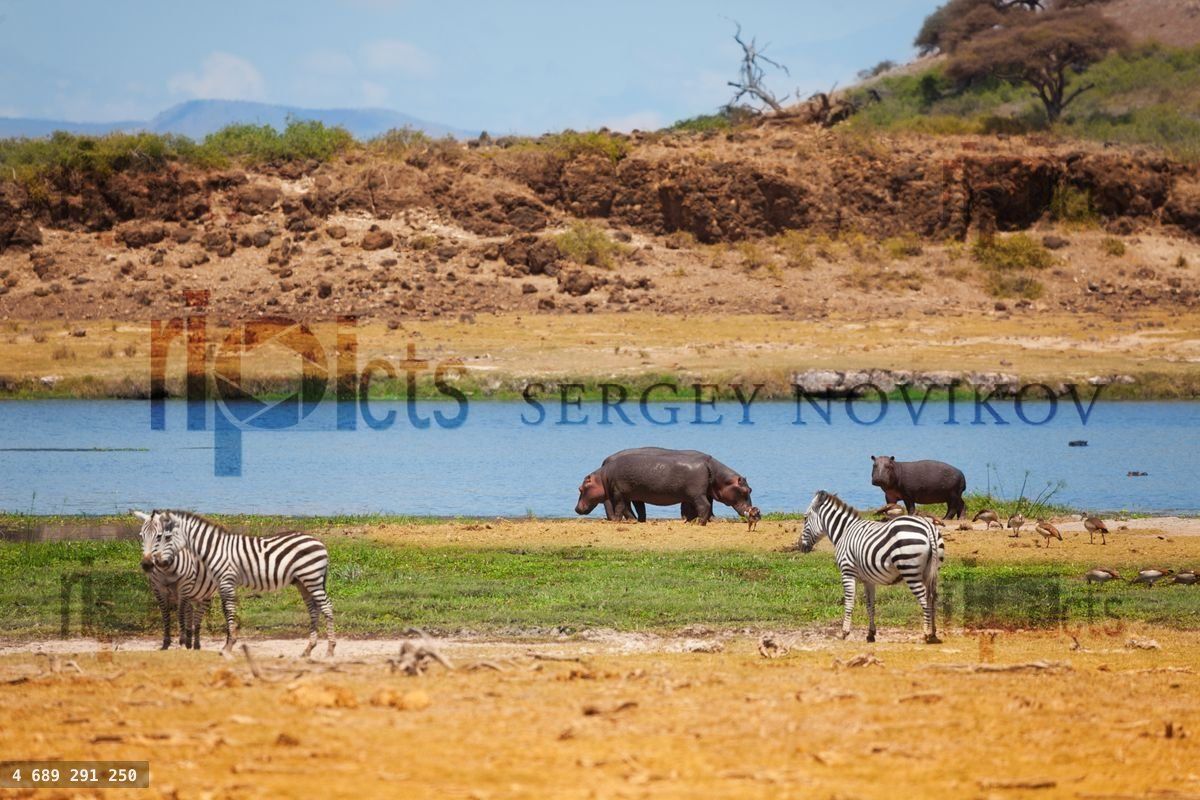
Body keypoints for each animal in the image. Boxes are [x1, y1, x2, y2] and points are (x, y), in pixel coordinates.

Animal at [134, 509, 335, 658]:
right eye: (142, 536)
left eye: (164, 537)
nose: (154, 564)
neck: (214, 549)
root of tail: (319, 541)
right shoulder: (220, 583)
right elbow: (225, 611)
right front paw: (227, 643)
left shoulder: (226, 581)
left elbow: (228, 610)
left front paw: (229, 645)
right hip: (303, 582)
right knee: (314, 610)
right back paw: (308, 649)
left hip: (311, 578)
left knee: (326, 607)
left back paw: (330, 650)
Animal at [799, 490, 945, 644]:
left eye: (805, 518)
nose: (800, 546)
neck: (844, 532)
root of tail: (928, 527)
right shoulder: (868, 580)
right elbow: (870, 605)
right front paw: (871, 634)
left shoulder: (847, 572)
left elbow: (849, 602)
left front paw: (845, 632)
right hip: (931, 571)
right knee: (932, 597)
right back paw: (933, 633)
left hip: (910, 570)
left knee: (924, 598)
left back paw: (926, 633)